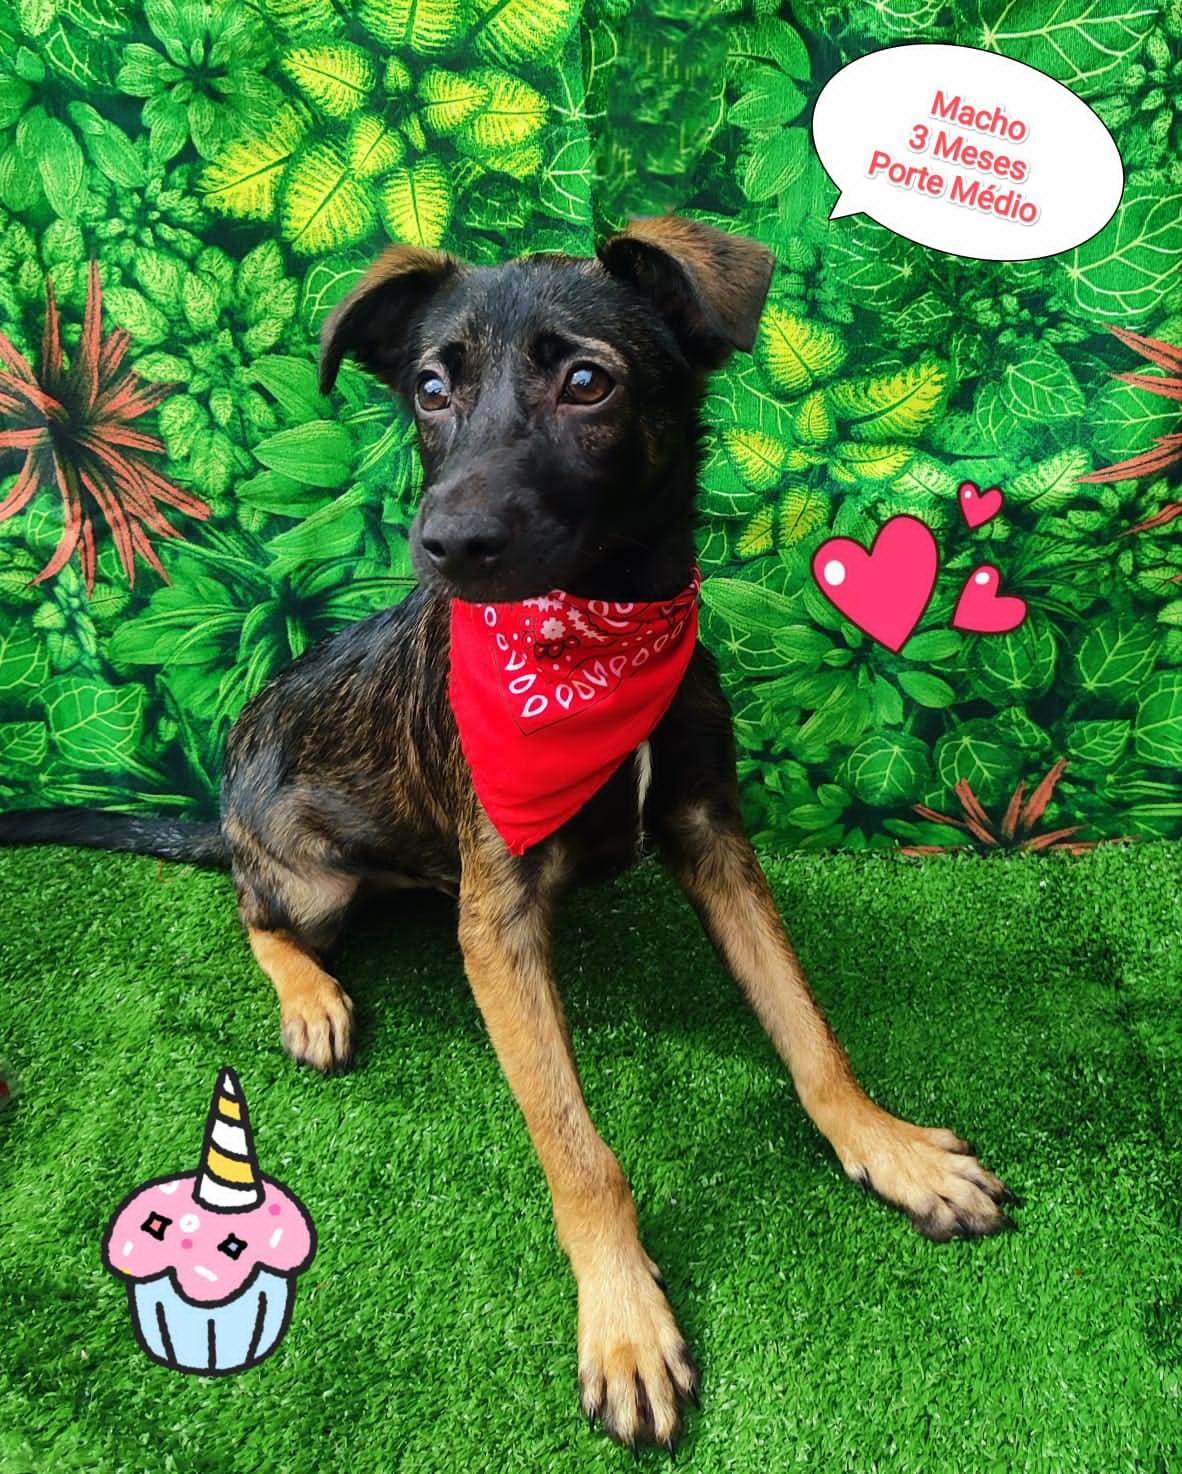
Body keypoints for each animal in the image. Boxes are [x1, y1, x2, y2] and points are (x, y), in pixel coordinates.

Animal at [0, 217, 1012, 1452]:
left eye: (588, 382)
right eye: (432, 391)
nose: (444, 543)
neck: (598, 631)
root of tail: (227, 808)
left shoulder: (713, 837)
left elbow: (808, 1030)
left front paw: (886, 1146)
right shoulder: (500, 919)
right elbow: (580, 1153)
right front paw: (623, 1318)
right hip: (307, 868)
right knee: (253, 907)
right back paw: (310, 994)